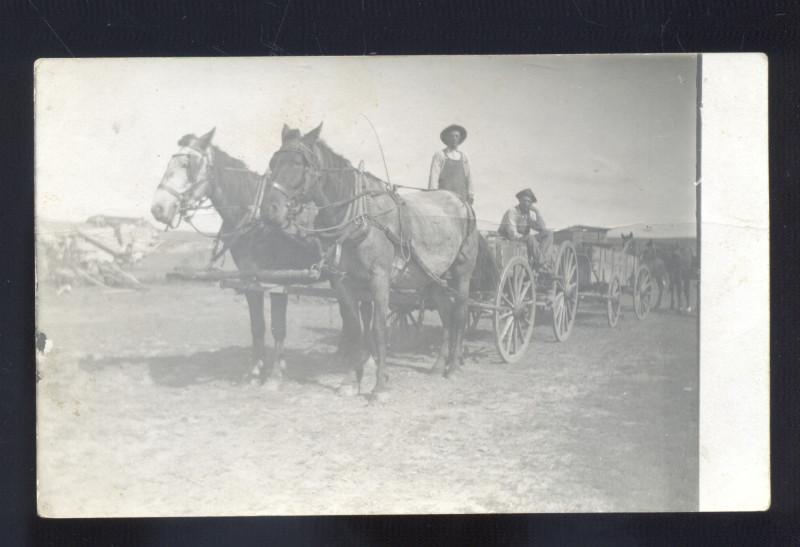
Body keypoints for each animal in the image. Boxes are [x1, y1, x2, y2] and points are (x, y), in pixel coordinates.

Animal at [151, 128, 350, 388]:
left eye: (187, 164)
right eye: (169, 163)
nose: (158, 208)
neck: (257, 222)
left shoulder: (277, 282)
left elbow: (278, 328)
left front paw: (275, 375)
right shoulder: (250, 281)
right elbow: (257, 327)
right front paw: (255, 372)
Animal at [260, 124, 482, 400]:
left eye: (299, 164)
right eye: (273, 163)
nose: (268, 211)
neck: (359, 216)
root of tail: (462, 202)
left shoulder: (380, 279)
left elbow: (378, 329)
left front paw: (379, 387)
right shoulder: (343, 282)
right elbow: (355, 327)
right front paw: (349, 382)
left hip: (462, 274)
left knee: (460, 313)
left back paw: (453, 368)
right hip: (432, 278)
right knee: (447, 314)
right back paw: (439, 365)